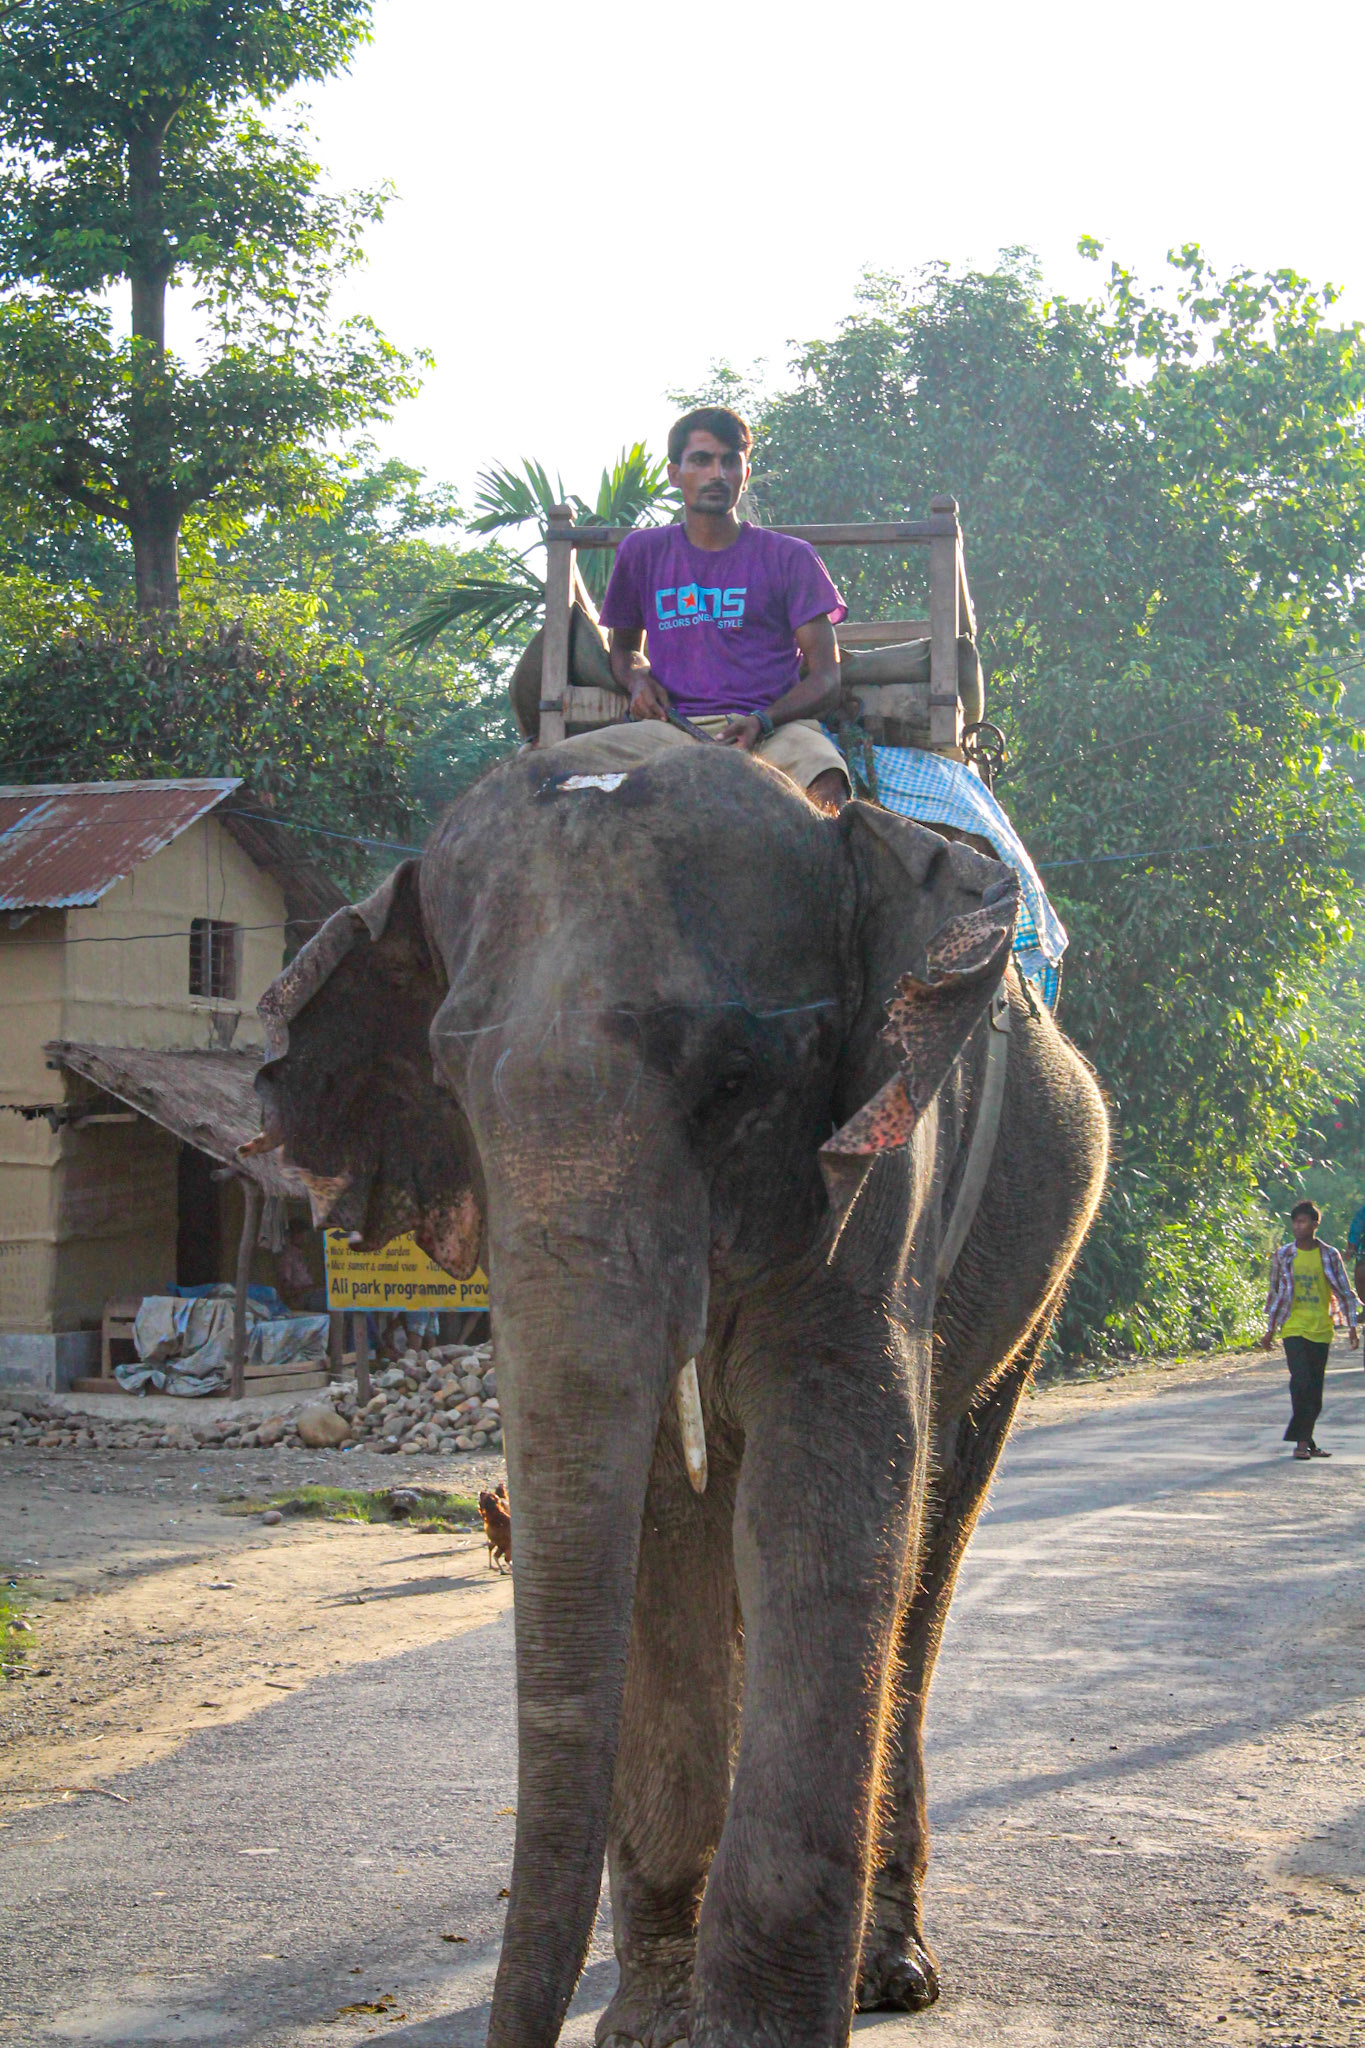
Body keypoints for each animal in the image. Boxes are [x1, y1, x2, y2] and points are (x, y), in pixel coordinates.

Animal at [250, 739, 1108, 2048]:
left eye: (737, 1075)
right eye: (447, 1076)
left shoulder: (880, 1176)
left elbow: (828, 1499)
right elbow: (657, 1518)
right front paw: (657, 2024)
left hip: (1040, 1268)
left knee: (930, 1544)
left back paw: (893, 1967)